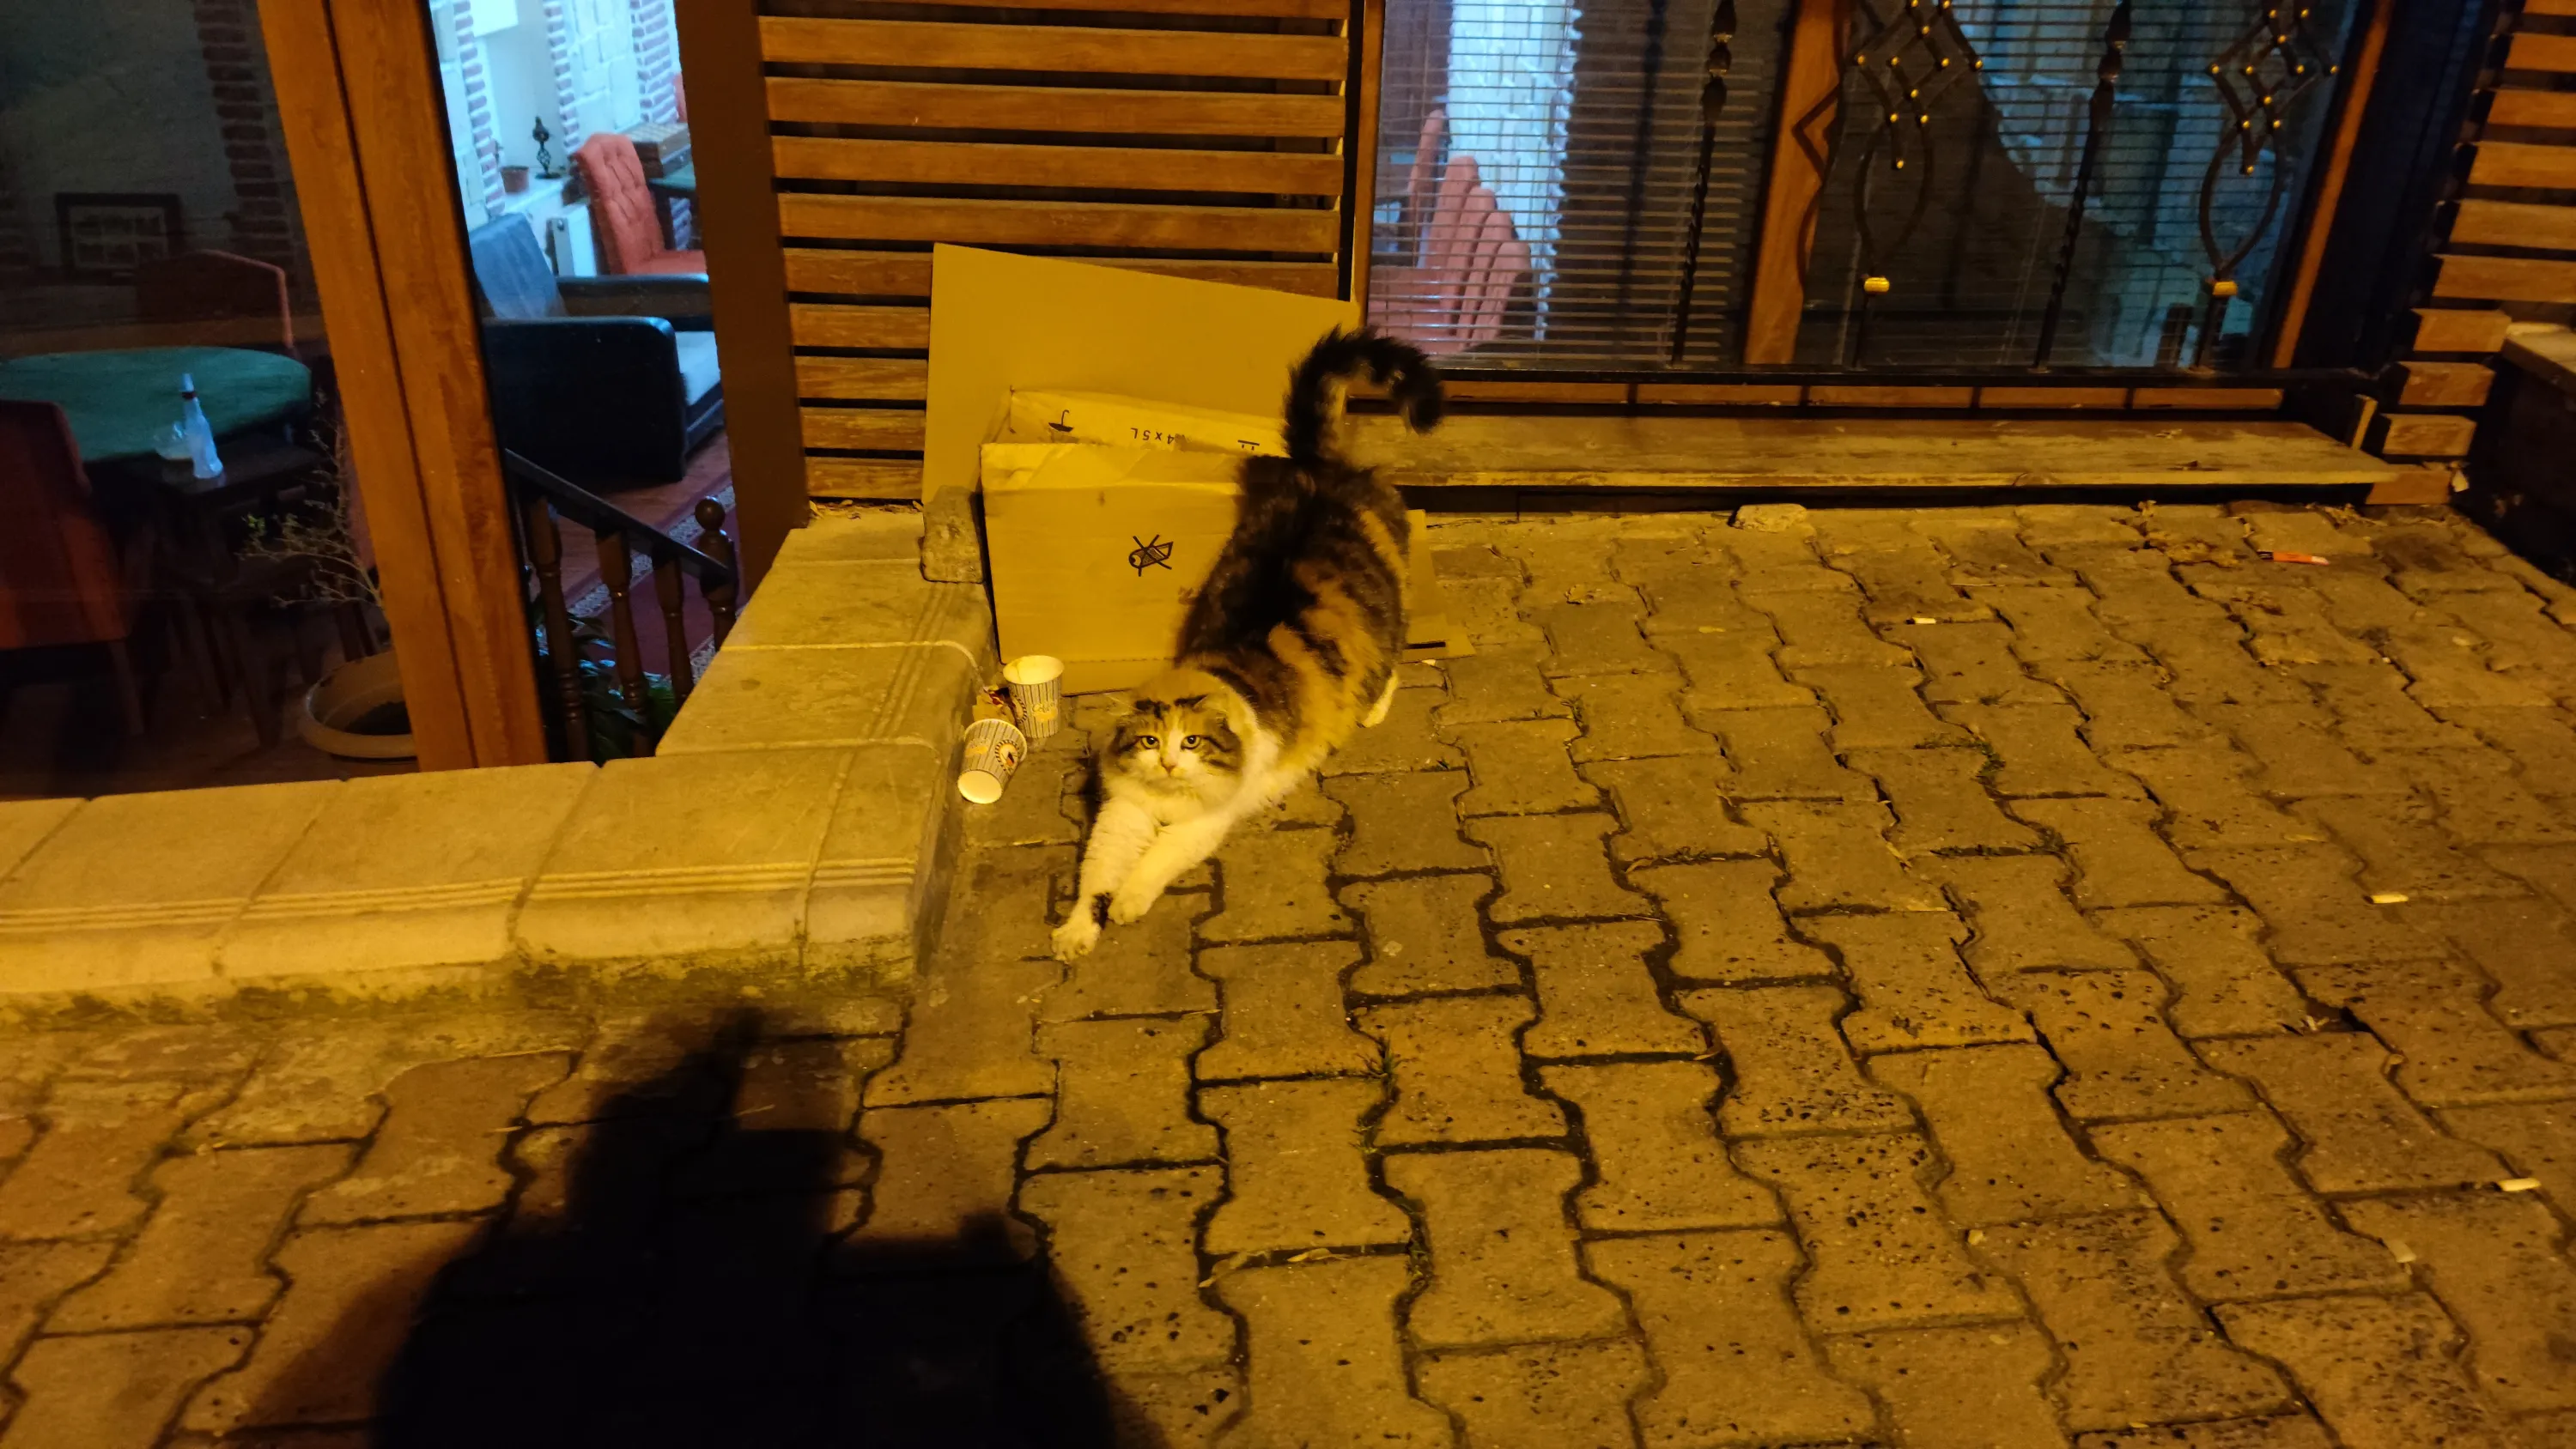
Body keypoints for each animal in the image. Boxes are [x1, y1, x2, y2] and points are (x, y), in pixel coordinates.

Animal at [1050, 326, 1444, 962]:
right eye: (1149, 741)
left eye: (1191, 742)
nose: (1167, 762)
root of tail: (1321, 471)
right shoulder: (1122, 813)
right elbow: (1096, 874)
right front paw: (1077, 930)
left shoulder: (1207, 820)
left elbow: (1156, 860)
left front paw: (1130, 902)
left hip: (1393, 601)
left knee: (1392, 659)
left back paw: (1373, 708)